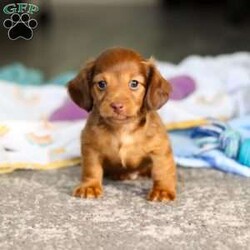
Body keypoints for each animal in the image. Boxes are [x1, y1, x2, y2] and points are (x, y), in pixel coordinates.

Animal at [68, 47, 176, 202]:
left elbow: (162, 170)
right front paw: (90, 186)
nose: (117, 106)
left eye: (134, 83)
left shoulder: (159, 148)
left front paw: (162, 190)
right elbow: (91, 168)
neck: (123, 129)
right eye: (101, 84)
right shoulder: (90, 147)